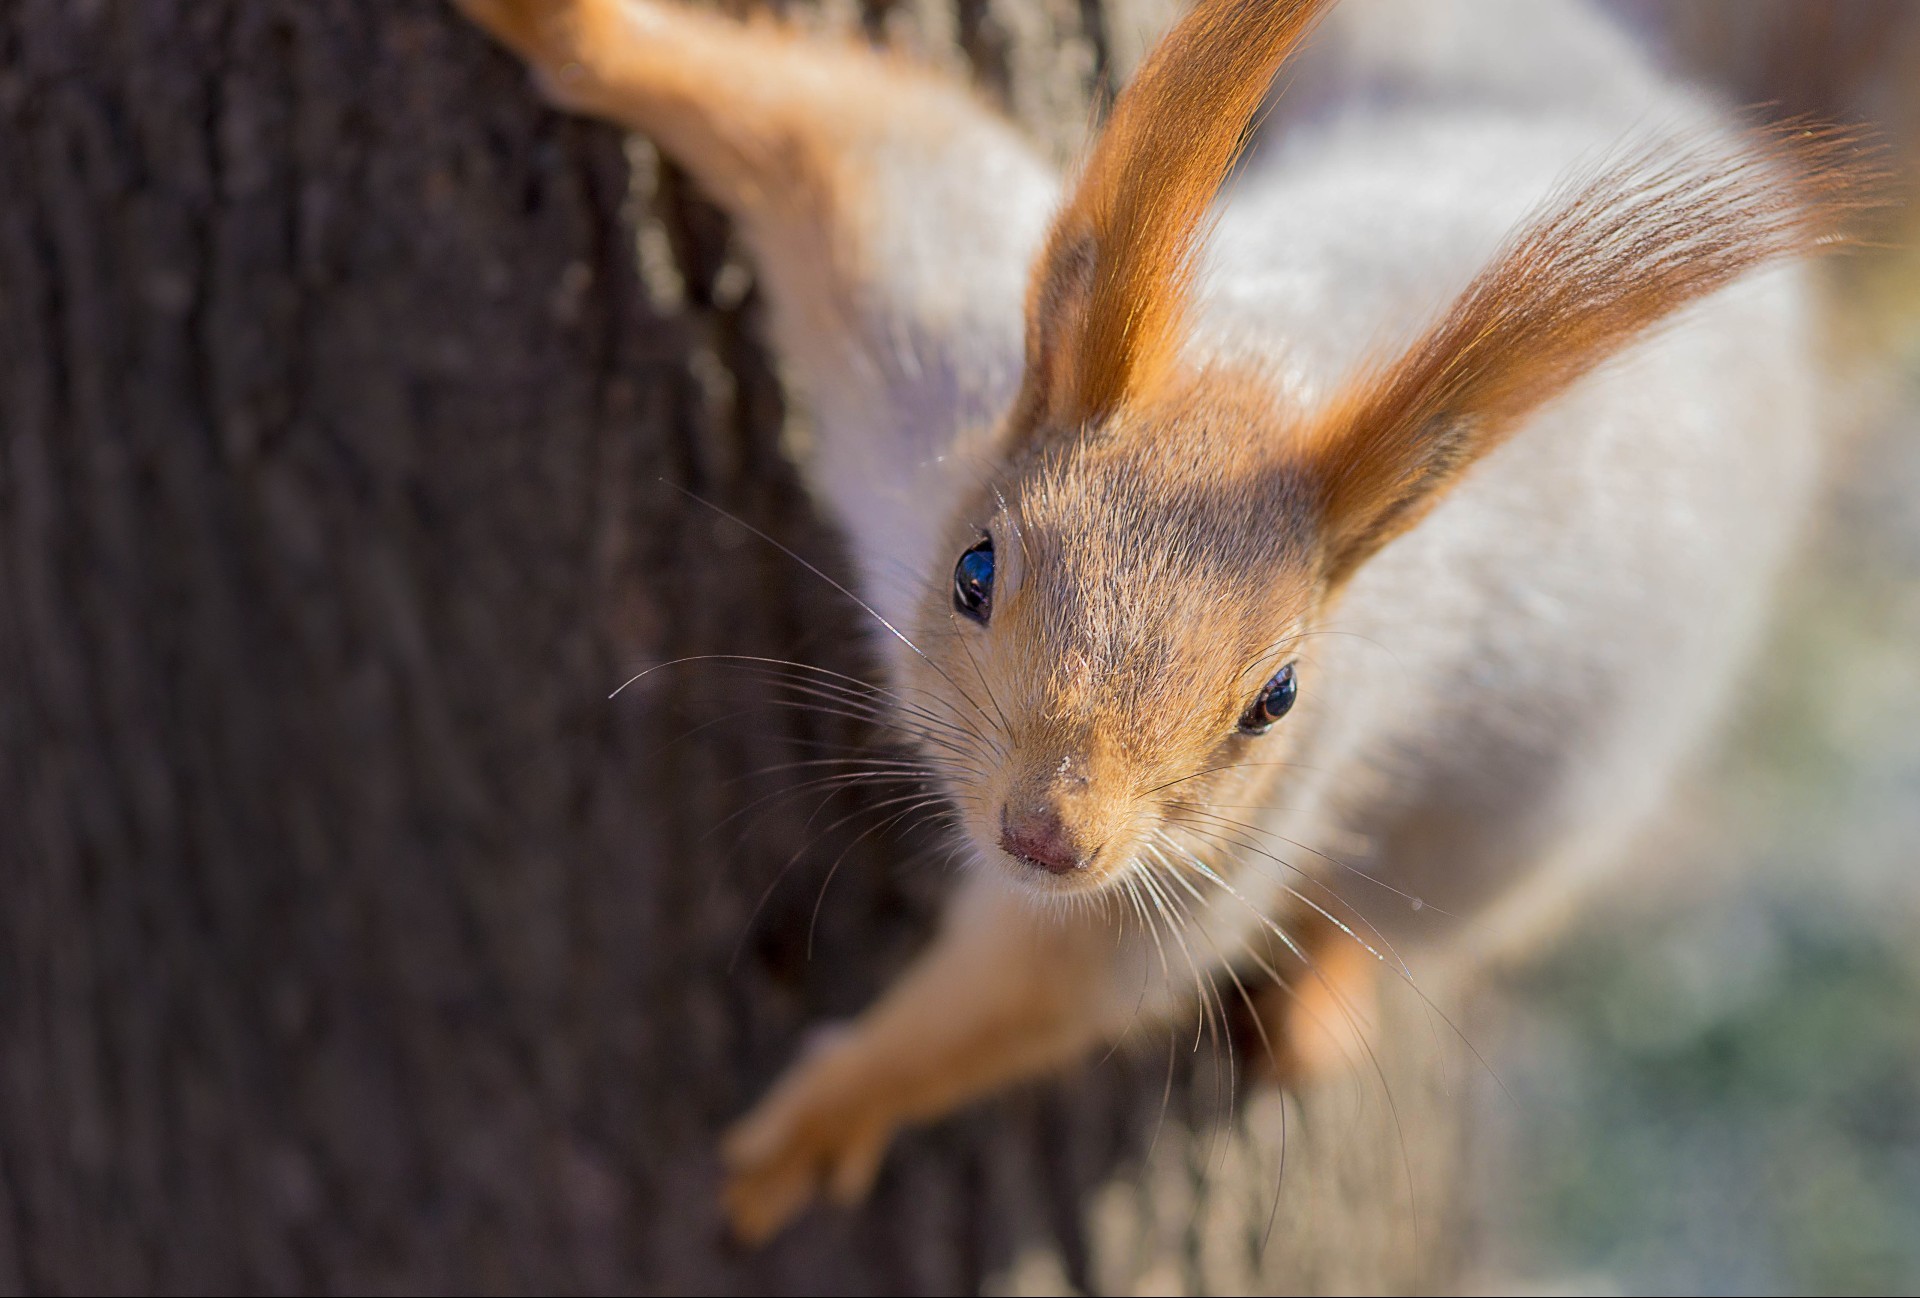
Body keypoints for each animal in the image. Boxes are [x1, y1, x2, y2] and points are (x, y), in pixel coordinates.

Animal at [453, 0, 1873, 1244]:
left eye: (1277, 698)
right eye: (974, 571)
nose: (1049, 835)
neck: (1272, 375)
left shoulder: (1207, 854)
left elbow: (1047, 990)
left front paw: (828, 1116)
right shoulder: (925, 338)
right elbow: (850, 142)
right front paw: (571, 26)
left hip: (1531, 814)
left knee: (1424, 915)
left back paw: (1327, 991)